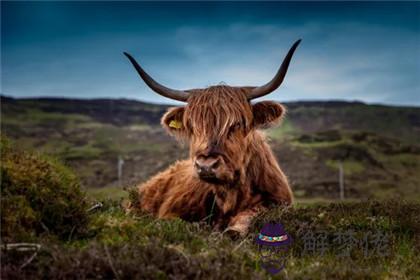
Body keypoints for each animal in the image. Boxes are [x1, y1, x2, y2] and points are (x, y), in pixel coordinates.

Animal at [123, 39, 300, 236]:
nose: (206, 165)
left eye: (237, 124)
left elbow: (251, 214)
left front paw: (234, 229)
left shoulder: (279, 203)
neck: (231, 195)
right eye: (192, 126)